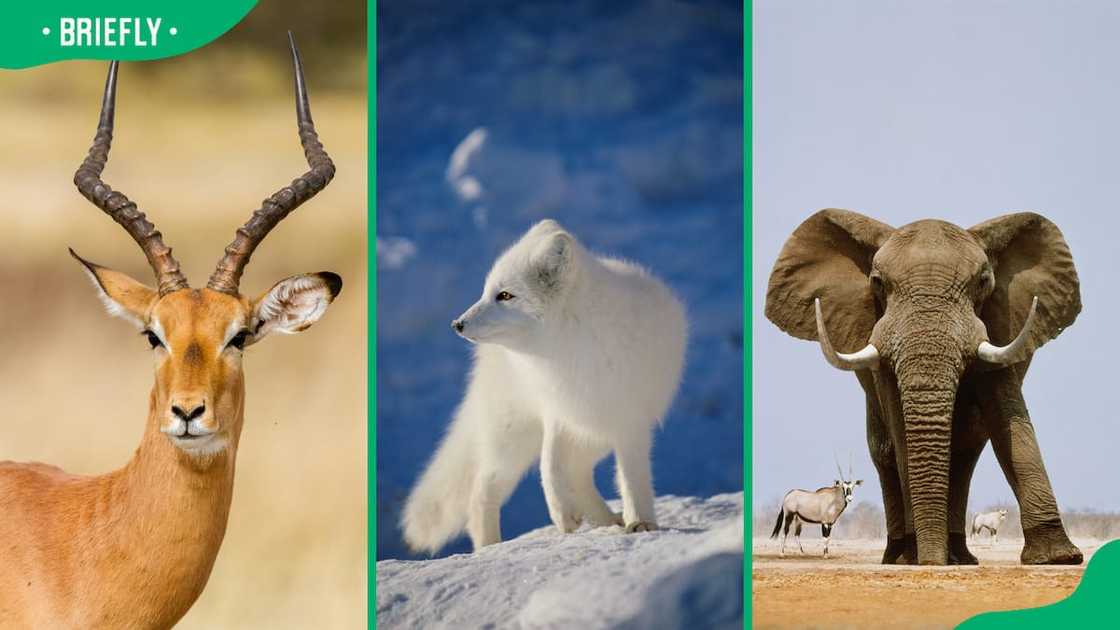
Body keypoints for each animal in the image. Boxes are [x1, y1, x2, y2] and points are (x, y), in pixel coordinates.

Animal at [398, 219, 685, 549]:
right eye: (486, 291)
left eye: (505, 295)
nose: (456, 324)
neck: (572, 348)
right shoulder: (556, 411)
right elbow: (548, 465)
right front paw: (561, 514)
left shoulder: (628, 421)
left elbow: (631, 476)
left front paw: (641, 522)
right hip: (516, 436)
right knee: (483, 490)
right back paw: (490, 548)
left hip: (592, 432)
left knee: (577, 472)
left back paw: (606, 520)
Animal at [766, 209, 1079, 564]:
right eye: (877, 283)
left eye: (984, 282)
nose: (932, 561)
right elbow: (901, 432)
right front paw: (916, 557)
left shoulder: (998, 324)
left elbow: (1009, 420)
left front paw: (1058, 558)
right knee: (885, 453)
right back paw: (900, 556)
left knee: (966, 451)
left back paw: (959, 557)